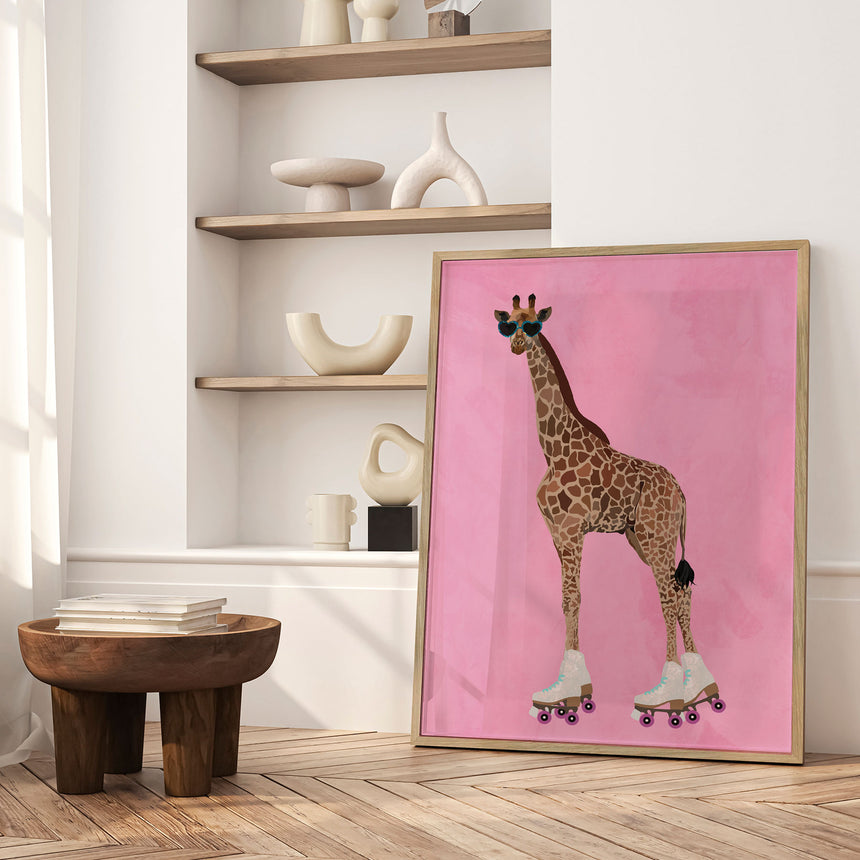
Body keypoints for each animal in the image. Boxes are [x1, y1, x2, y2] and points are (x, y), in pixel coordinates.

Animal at [494, 294, 724, 728]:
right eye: (507, 324)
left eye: (532, 325)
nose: (516, 345)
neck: (554, 449)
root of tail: (681, 491)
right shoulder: (557, 534)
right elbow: (566, 598)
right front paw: (566, 691)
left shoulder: (572, 530)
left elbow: (573, 598)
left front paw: (569, 696)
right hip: (641, 538)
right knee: (680, 591)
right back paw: (700, 690)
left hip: (656, 536)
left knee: (668, 597)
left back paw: (668, 698)